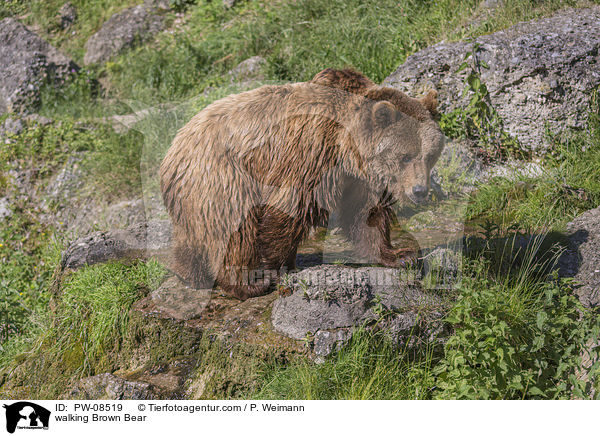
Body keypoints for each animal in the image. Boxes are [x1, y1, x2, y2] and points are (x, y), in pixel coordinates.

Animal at [159, 68, 446, 300]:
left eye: (430, 154)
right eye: (406, 156)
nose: (420, 191)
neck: (346, 145)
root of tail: (172, 150)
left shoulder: (358, 177)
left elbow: (366, 214)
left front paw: (400, 255)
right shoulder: (309, 151)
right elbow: (291, 205)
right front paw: (275, 265)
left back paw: (190, 272)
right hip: (222, 175)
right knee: (234, 228)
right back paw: (247, 283)